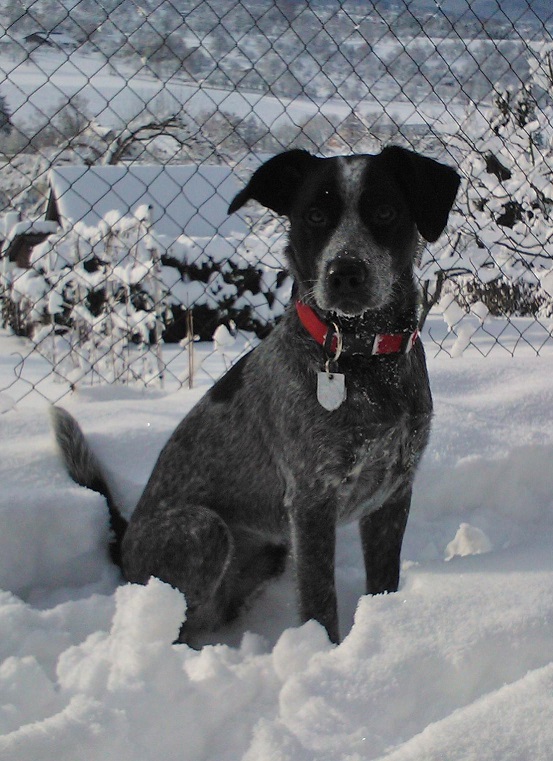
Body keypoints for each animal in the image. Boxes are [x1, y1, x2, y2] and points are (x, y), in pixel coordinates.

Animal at [52, 147, 458, 640]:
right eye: (314, 215)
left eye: (384, 211)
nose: (344, 272)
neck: (365, 359)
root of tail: (125, 545)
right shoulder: (311, 500)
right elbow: (320, 601)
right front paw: (325, 651)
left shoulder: (394, 491)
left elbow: (383, 582)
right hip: (205, 529)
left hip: (271, 550)